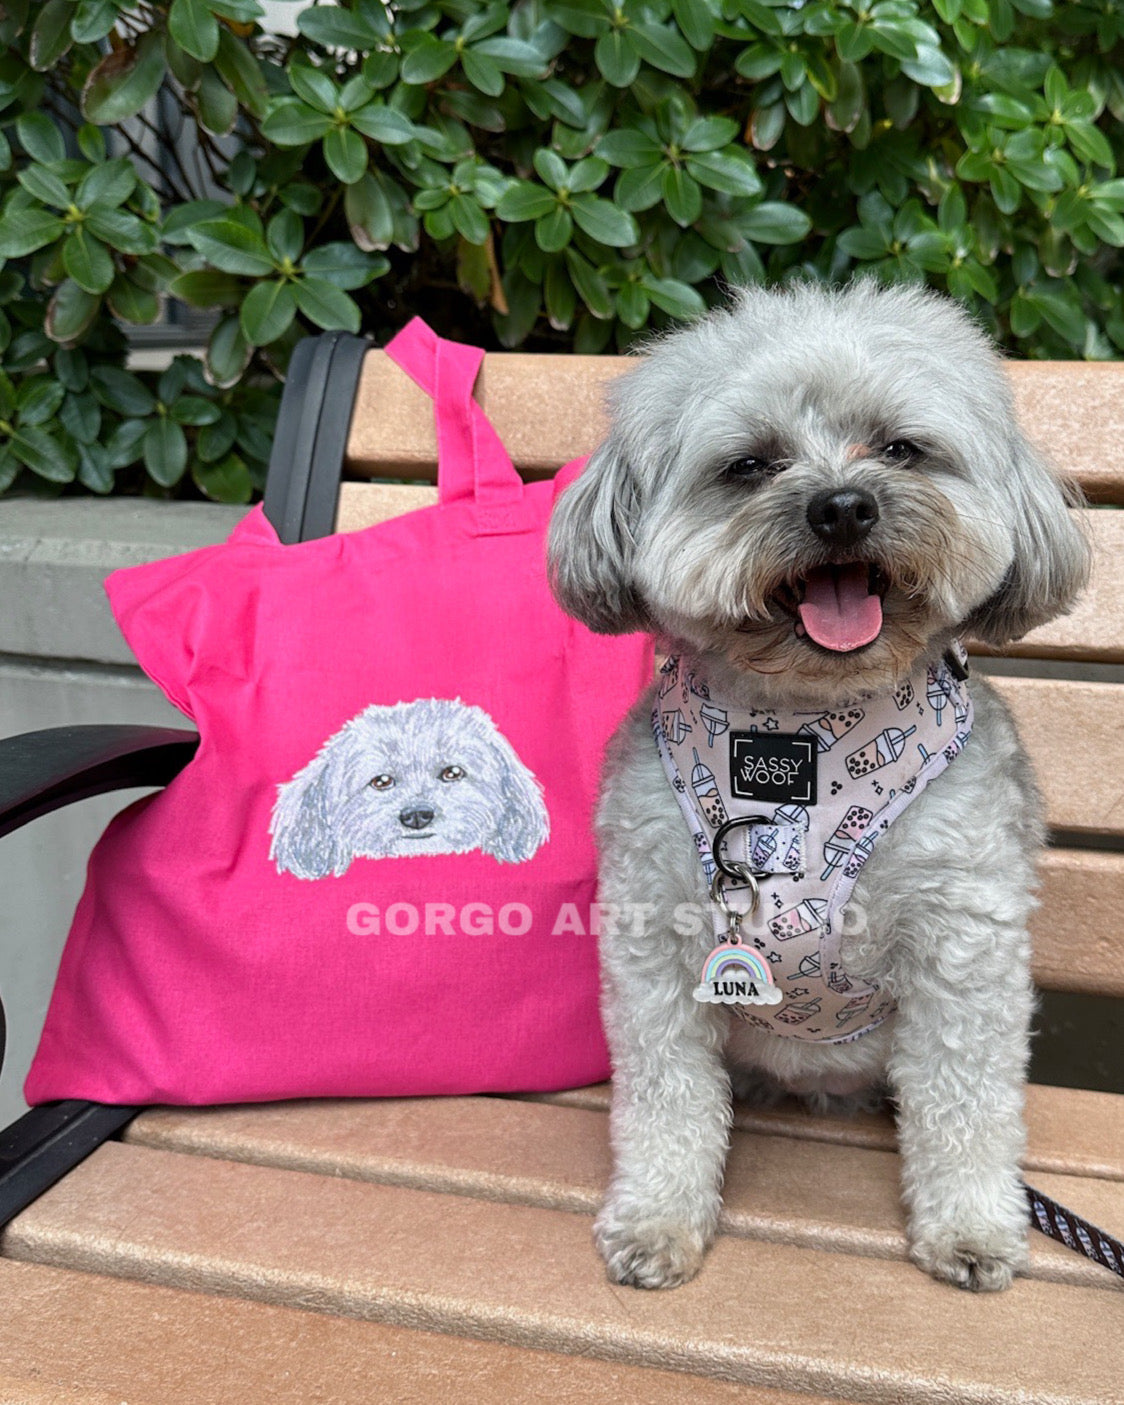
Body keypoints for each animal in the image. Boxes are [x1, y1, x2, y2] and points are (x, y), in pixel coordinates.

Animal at [545, 282, 1090, 1292]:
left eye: (901, 448)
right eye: (750, 464)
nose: (842, 507)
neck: (804, 739)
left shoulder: (965, 942)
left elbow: (965, 1100)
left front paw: (972, 1227)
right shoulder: (653, 944)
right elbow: (667, 1100)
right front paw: (657, 1218)